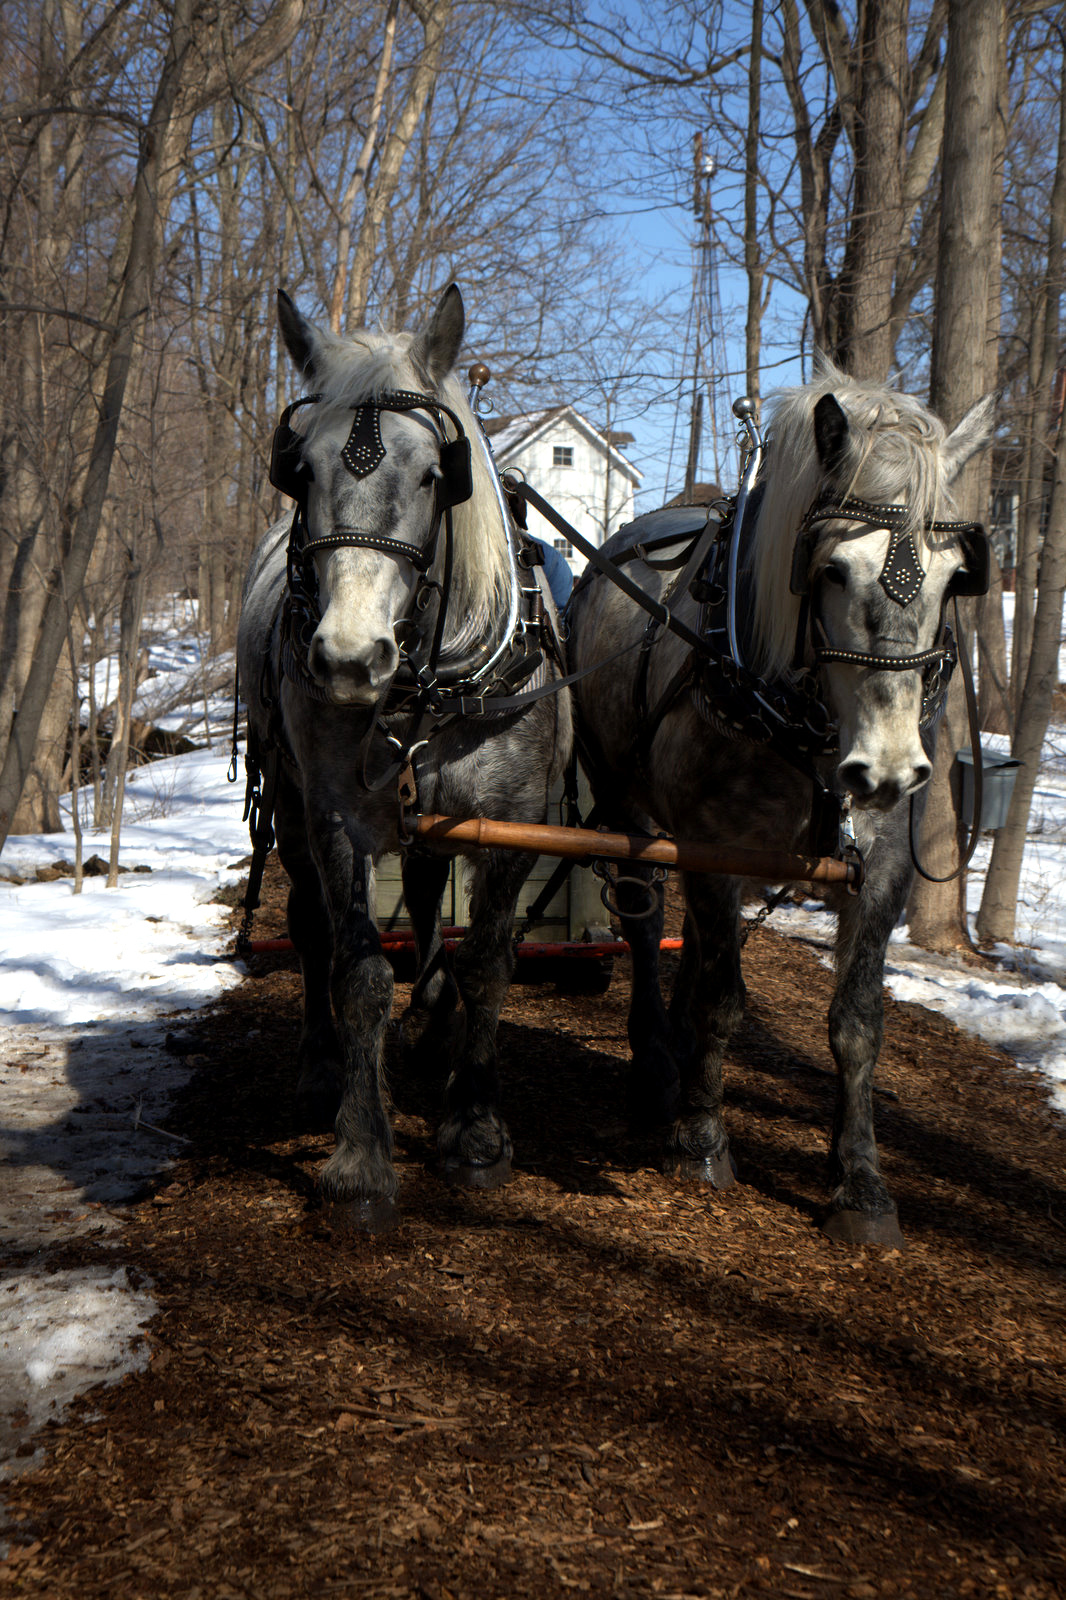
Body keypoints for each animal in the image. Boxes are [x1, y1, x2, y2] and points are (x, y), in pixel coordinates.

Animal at [240, 288, 569, 1222]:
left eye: (433, 475)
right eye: (300, 469)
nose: (350, 660)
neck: (432, 683)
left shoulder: (511, 823)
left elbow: (488, 964)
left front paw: (474, 1126)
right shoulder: (337, 818)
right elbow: (357, 974)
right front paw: (359, 1154)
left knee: (425, 895)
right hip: (288, 801)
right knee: (311, 929)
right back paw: (321, 1065)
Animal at [569, 366, 992, 1248]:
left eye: (951, 578)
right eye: (831, 570)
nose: (888, 769)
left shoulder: (883, 869)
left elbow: (857, 1023)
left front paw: (859, 1180)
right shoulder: (716, 849)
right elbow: (726, 999)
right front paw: (702, 1139)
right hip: (627, 804)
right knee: (645, 924)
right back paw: (659, 1069)